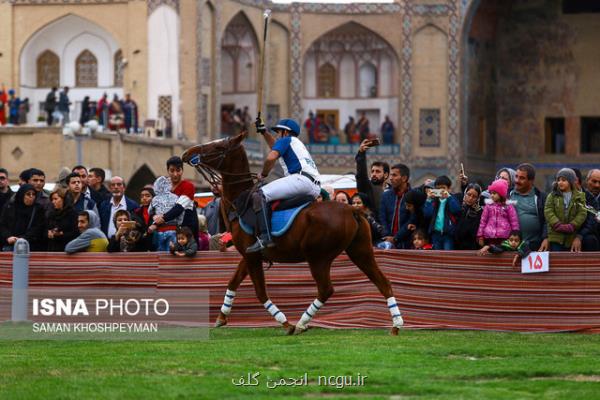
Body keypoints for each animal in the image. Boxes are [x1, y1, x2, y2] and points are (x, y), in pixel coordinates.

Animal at [179, 131, 404, 334]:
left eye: (218, 147)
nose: (187, 153)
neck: (240, 201)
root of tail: (352, 210)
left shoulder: (252, 256)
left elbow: (260, 292)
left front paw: (285, 323)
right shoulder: (250, 254)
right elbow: (233, 281)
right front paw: (221, 317)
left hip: (318, 257)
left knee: (326, 289)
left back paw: (301, 323)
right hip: (360, 251)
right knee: (383, 282)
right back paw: (396, 325)